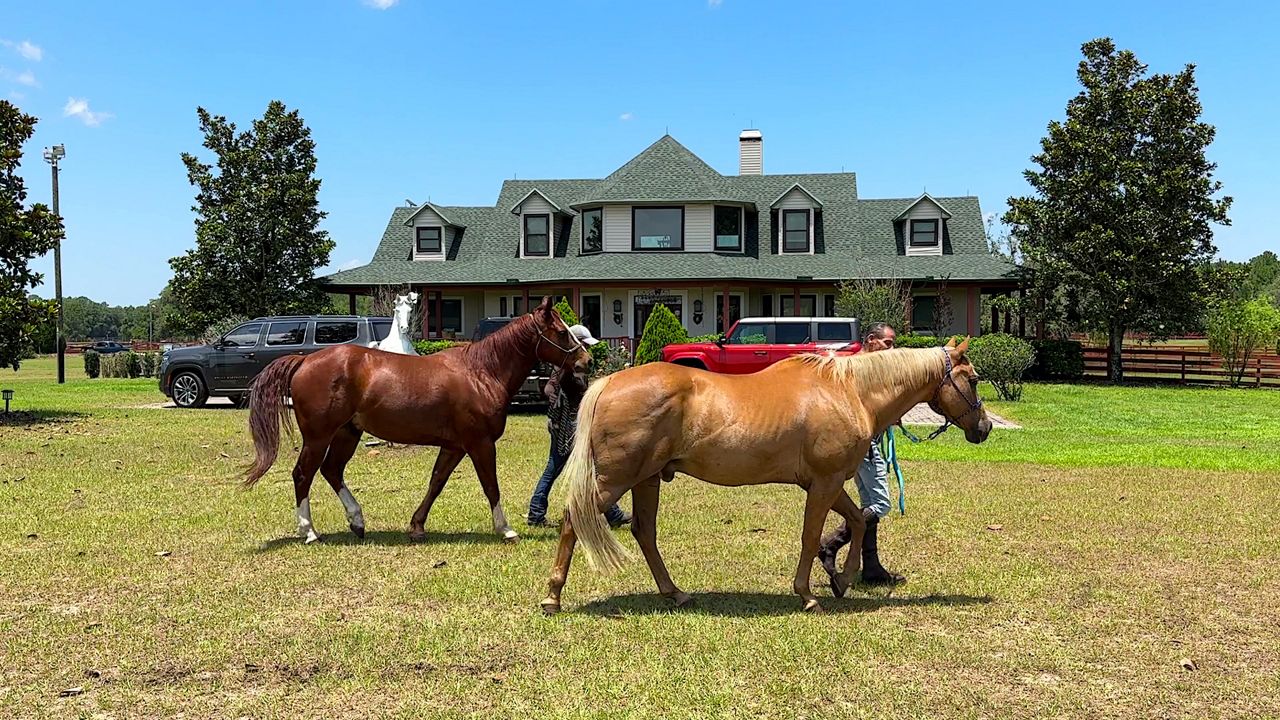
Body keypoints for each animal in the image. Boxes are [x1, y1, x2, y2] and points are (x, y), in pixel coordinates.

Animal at [241, 297, 586, 543]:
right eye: (561, 332)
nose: (585, 359)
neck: (482, 372)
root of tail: (304, 361)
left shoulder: (454, 446)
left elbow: (436, 482)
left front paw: (417, 526)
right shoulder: (480, 443)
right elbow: (491, 485)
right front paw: (505, 529)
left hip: (347, 433)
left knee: (331, 471)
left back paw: (357, 521)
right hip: (318, 437)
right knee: (303, 474)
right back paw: (309, 531)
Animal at [540, 338, 988, 609]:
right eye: (973, 379)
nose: (983, 428)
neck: (848, 392)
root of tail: (609, 382)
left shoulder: (828, 482)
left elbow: (859, 522)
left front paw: (841, 580)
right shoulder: (824, 484)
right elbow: (811, 536)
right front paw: (807, 594)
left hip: (647, 480)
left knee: (644, 533)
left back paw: (676, 593)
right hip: (614, 481)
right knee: (573, 519)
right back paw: (553, 597)